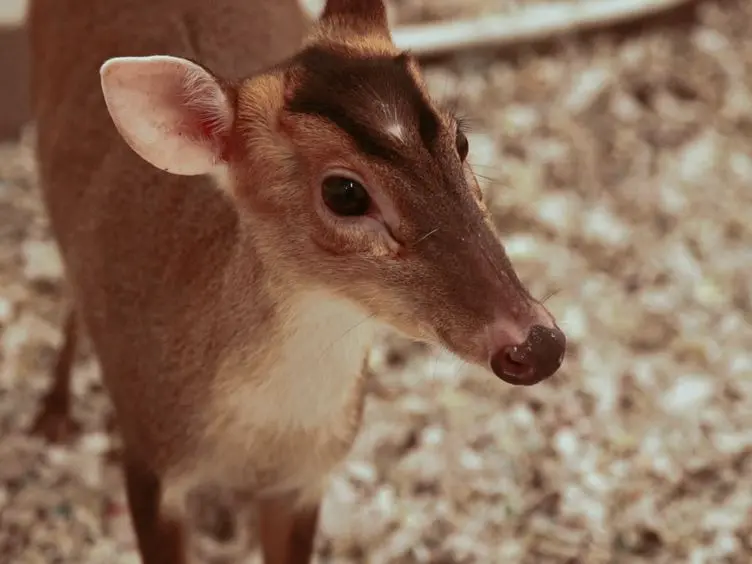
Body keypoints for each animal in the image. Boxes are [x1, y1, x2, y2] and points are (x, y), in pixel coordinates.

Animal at [26, 0, 567, 562]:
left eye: (460, 141)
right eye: (345, 193)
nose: (538, 344)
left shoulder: (307, 477)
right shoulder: (150, 460)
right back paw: (52, 415)